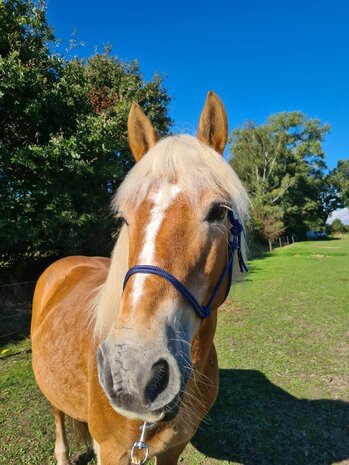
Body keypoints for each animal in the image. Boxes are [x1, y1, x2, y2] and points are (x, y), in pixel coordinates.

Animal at [29, 91, 247, 464]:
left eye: (219, 211)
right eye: (125, 218)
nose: (132, 371)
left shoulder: (174, 447)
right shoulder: (112, 451)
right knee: (57, 414)